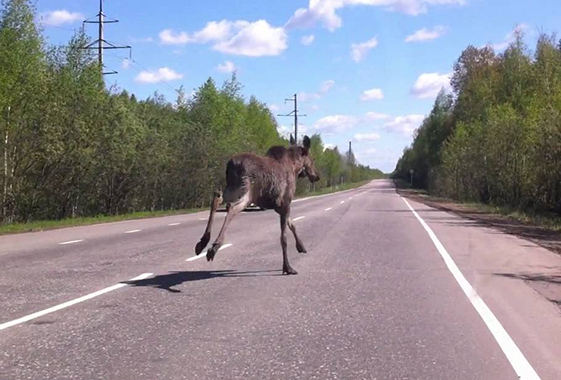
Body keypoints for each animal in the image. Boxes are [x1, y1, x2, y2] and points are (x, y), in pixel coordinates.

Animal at [195, 135, 320, 274]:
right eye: (312, 160)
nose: (316, 176)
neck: (295, 166)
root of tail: (231, 165)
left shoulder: (278, 207)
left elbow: (292, 224)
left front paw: (301, 247)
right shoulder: (285, 202)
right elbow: (284, 237)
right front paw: (287, 267)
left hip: (232, 188)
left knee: (217, 198)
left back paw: (203, 242)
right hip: (247, 191)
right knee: (232, 207)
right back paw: (215, 246)